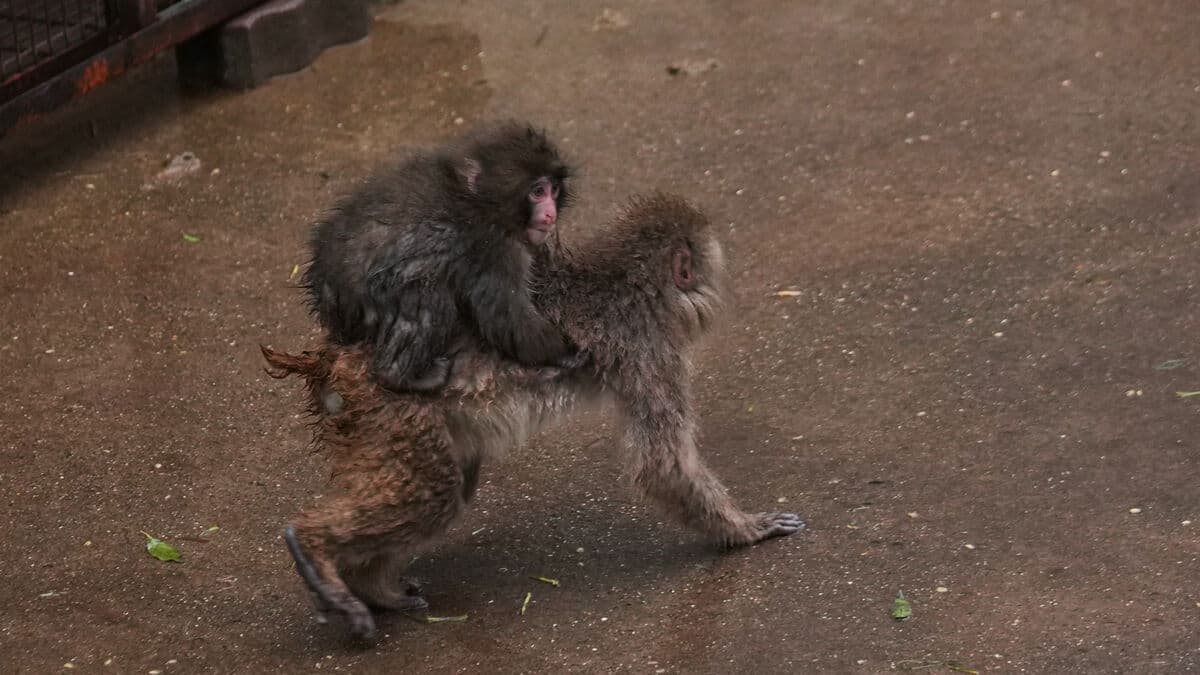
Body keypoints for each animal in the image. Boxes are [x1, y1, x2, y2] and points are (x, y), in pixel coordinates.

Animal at [264, 193, 805, 641]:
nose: (715, 291)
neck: (626, 283)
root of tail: (334, 358)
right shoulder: (648, 349)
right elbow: (664, 466)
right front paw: (745, 529)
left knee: (451, 484)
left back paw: (371, 584)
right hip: (388, 410)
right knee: (435, 494)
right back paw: (316, 548)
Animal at [302, 121, 578, 393]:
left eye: (554, 190)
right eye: (538, 191)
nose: (550, 214)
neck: (480, 201)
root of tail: (325, 283)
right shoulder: (494, 248)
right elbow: (508, 318)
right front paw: (565, 353)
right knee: (429, 296)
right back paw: (398, 375)